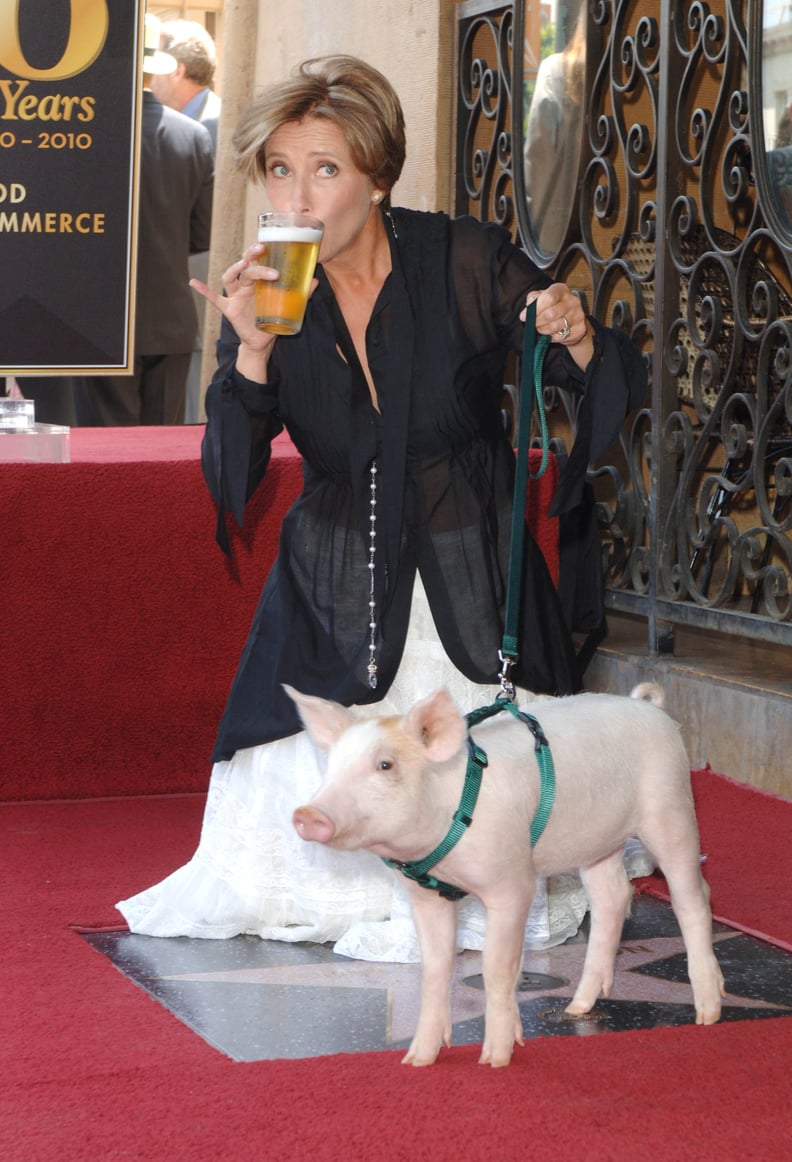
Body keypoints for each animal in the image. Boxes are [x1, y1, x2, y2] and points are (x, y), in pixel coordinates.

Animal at [288, 678, 720, 1069]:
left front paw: (494, 1060)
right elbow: (434, 969)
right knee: (612, 897)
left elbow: (497, 968)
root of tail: (650, 708)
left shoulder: (512, 884)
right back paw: (578, 1009)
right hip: (599, 842)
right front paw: (418, 1061)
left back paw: (707, 1013)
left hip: (671, 808)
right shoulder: (424, 895)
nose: (307, 814)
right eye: (332, 766)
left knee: (694, 896)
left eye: (385, 764)